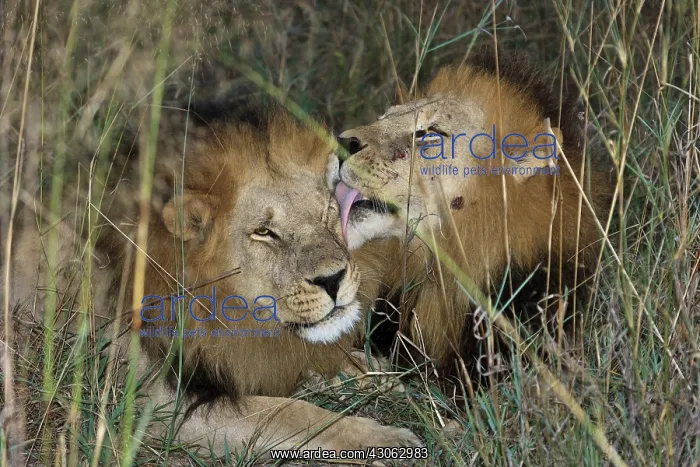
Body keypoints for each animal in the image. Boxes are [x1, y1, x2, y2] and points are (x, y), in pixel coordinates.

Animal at [2, 101, 420, 461]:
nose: (333, 279)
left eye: (326, 213)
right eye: (264, 232)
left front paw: (388, 380)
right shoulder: (163, 404)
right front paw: (388, 439)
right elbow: (293, 413)